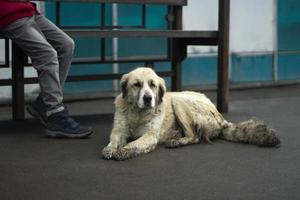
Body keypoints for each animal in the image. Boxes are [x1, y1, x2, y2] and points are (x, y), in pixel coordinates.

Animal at [102, 67, 280, 161]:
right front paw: (110, 149)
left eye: (153, 85)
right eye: (137, 85)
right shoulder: (119, 130)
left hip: (179, 100)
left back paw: (176, 141)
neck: (137, 113)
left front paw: (124, 151)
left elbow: (134, 144)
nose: (148, 98)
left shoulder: (150, 136)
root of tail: (220, 117)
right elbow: (114, 140)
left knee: (194, 136)